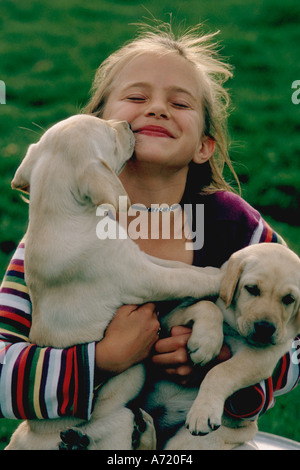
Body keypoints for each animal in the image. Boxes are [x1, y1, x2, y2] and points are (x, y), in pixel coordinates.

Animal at [144, 244, 300, 450]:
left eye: (289, 299)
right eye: (252, 289)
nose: (265, 328)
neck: (234, 327)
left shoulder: (262, 356)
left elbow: (221, 371)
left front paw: (203, 413)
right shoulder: (170, 319)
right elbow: (207, 305)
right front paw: (207, 342)